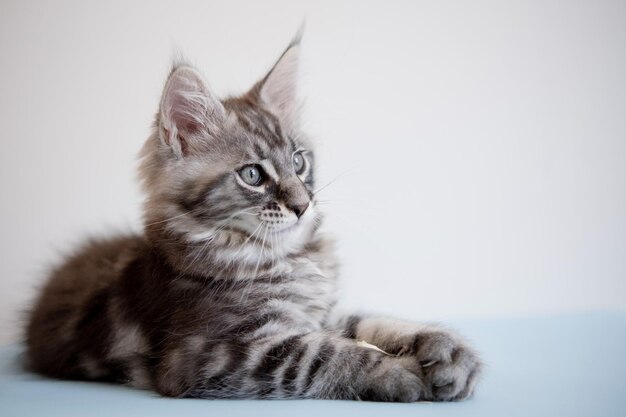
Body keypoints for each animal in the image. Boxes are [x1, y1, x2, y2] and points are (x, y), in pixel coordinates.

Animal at [25, 36, 478, 404]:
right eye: (253, 176)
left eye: (299, 161)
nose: (303, 205)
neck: (283, 256)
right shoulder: (209, 352)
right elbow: (321, 352)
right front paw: (395, 371)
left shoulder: (318, 313)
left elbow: (367, 322)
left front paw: (445, 348)